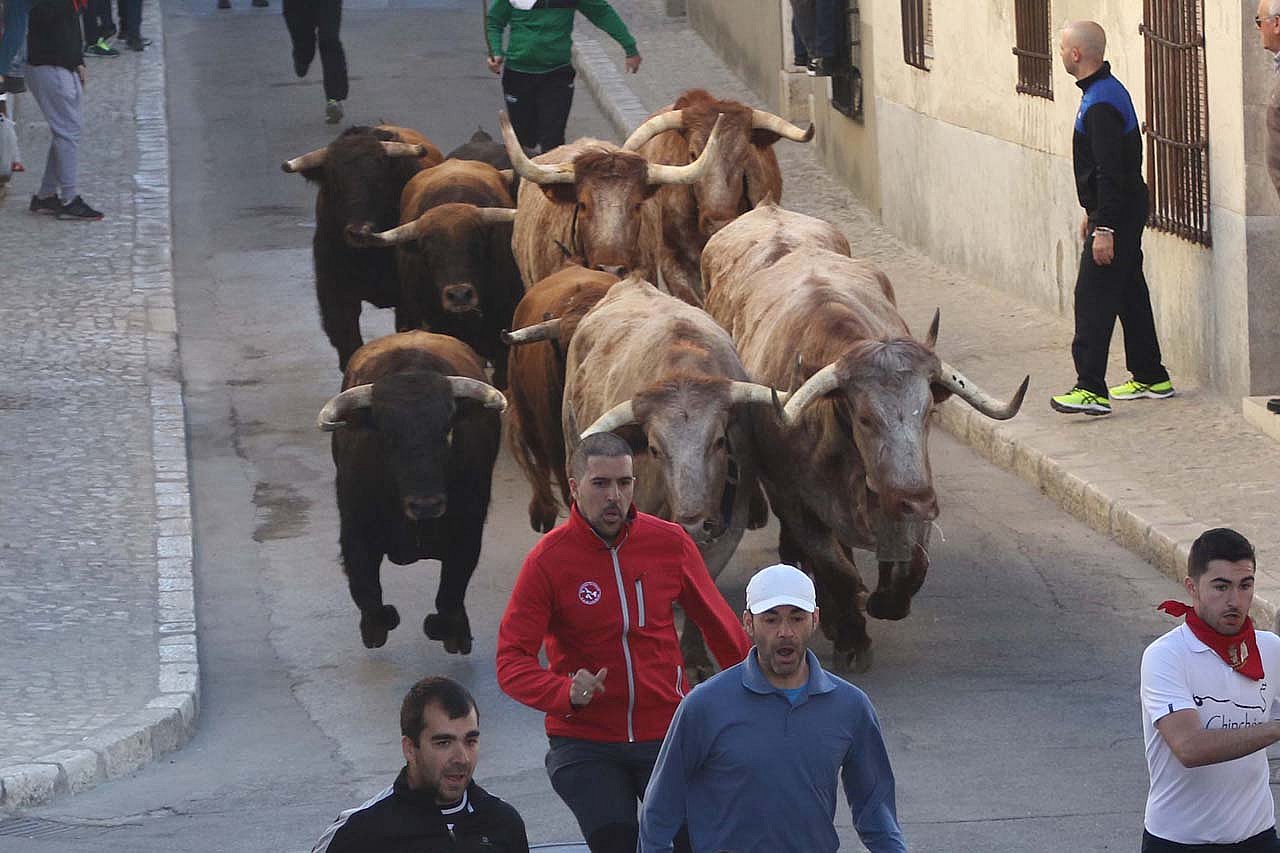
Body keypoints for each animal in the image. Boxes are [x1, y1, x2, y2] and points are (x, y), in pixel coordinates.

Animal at [283, 125, 444, 371]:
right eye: (335, 183)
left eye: (379, 181)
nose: (358, 231)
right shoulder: (335, 294)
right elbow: (349, 345)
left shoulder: (407, 302)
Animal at [317, 330, 506, 654]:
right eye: (387, 436)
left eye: (447, 431)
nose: (426, 505)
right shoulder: (354, 526)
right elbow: (365, 586)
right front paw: (377, 626)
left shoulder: (468, 528)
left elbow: (451, 590)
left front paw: (451, 632)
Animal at [703, 203, 1028, 671]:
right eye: (865, 417)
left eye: (928, 412)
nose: (917, 499)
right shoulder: (795, 500)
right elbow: (836, 570)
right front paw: (851, 636)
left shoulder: (910, 490)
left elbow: (913, 562)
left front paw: (884, 603)